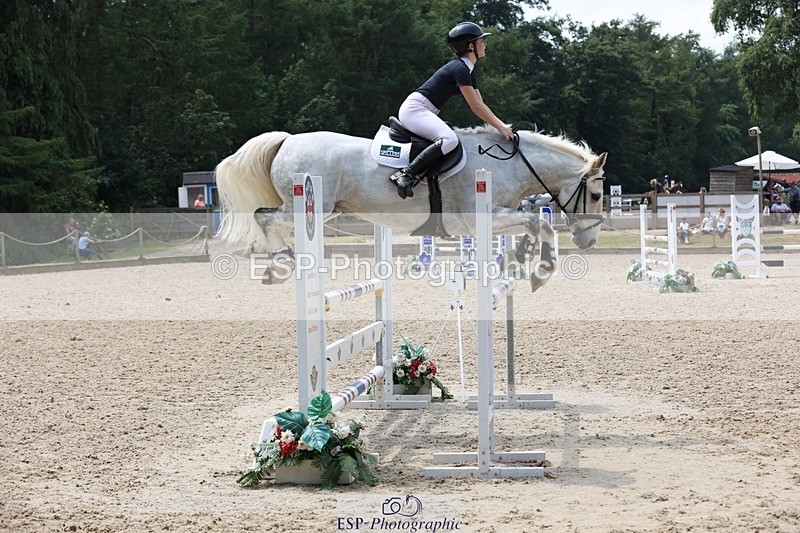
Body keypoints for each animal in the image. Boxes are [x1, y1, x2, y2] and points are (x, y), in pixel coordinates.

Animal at [215, 125, 607, 291]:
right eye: (597, 195)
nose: (589, 243)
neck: (508, 164)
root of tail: (286, 140)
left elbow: (532, 224)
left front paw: (523, 257)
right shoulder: (477, 219)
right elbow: (540, 223)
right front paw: (542, 271)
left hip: (327, 209)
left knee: (267, 217)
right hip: (311, 205)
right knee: (265, 218)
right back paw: (281, 264)